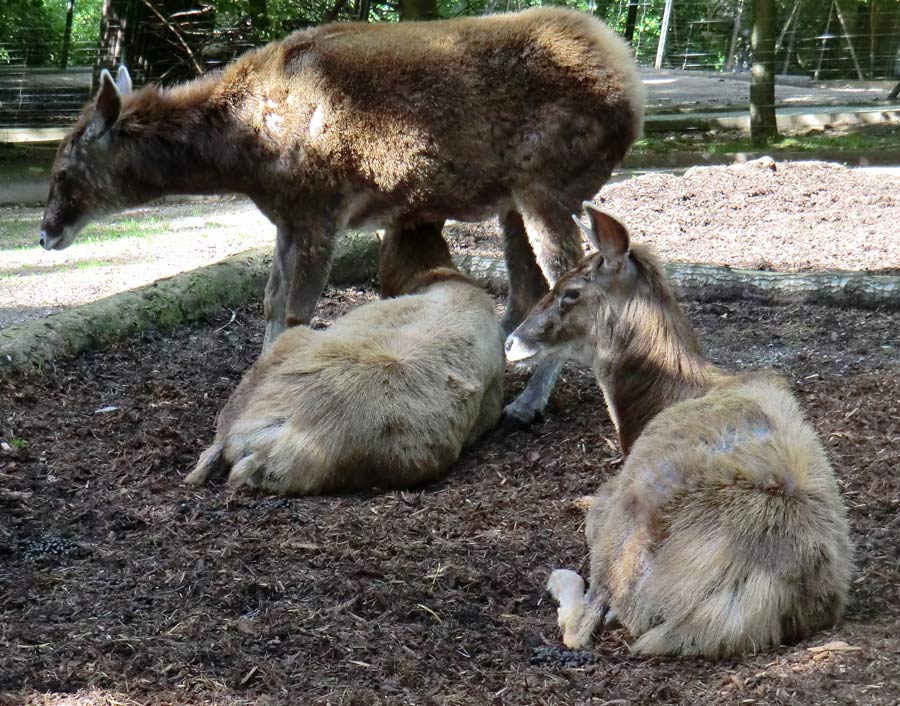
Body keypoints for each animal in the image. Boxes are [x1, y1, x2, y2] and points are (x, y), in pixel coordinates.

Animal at [40, 8, 648, 426]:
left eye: (64, 170)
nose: (46, 233)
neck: (246, 156)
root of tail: (633, 94)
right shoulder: (288, 218)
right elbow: (271, 302)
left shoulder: (319, 208)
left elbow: (297, 312)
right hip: (511, 200)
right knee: (526, 287)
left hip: (546, 183)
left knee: (564, 277)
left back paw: (526, 403)